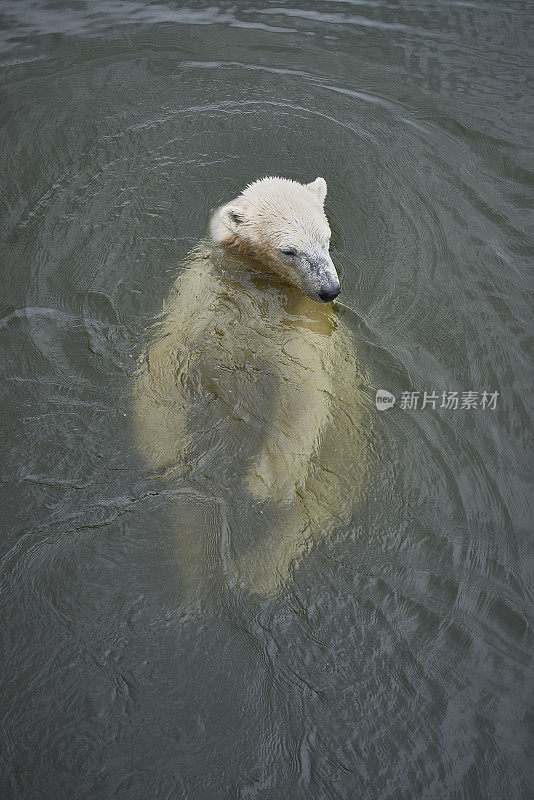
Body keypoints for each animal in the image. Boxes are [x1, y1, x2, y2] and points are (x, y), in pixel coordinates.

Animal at [132, 178, 370, 596]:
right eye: (290, 250)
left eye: (326, 239)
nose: (329, 289)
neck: (256, 284)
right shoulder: (201, 300)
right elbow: (163, 358)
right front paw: (162, 446)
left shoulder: (302, 330)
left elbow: (305, 394)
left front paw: (264, 481)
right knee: (190, 512)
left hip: (346, 450)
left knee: (318, 507)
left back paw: (258, 570)